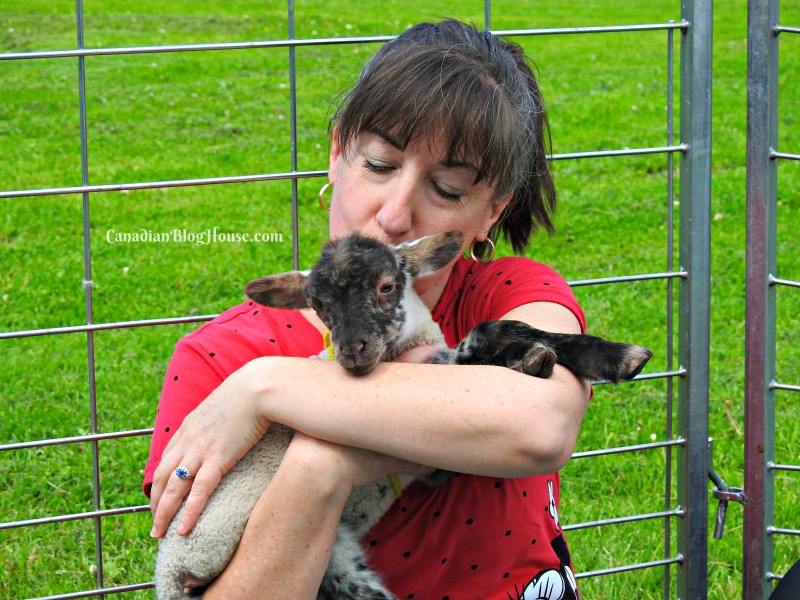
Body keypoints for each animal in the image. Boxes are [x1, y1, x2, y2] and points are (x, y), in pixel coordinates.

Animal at [153, 230, 652, 600]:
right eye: (318, 306)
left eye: (386, 285)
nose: (352, 352)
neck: (406, 349)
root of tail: (172, 578)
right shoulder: (438, 415)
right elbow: (486, 333)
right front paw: (603, 357)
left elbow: (504, 329)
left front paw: (585, 355)